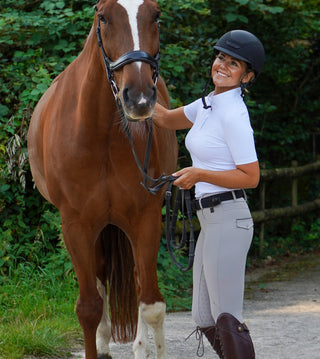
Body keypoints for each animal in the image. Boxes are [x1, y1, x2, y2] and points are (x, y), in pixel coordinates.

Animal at [27, 0, 178, 358]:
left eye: (156, 16)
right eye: (104, 17)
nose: (139, 98)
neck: (103, 133)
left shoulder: (146, 217)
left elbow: (151, 304)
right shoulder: (76, 224)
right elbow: (89, 307)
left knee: (136, 281)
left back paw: (138, 347)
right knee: (98, 278)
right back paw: (105, 341)